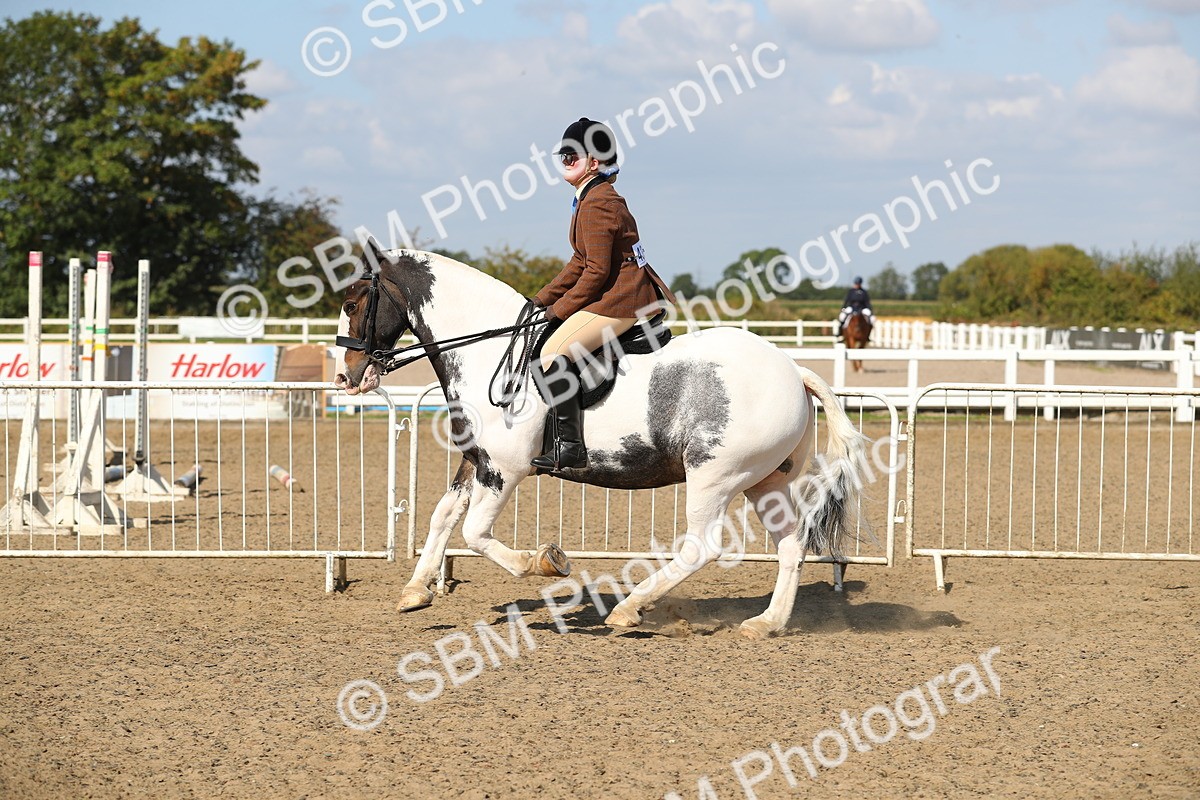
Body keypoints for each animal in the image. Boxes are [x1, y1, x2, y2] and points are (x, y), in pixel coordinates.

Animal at [334, 243, 870, 639]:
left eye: (352, 304)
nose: (345, 377)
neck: (491, 352)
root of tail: (794, 369)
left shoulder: (504, 469)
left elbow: (475, 534)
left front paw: (544, 563)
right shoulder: (478, 460)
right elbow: (443, 516)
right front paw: (416, 590)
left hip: (715, 475)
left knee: (702, 547)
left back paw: (629, 610)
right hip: (766, 481)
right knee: (791, 545)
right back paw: (766, 623)